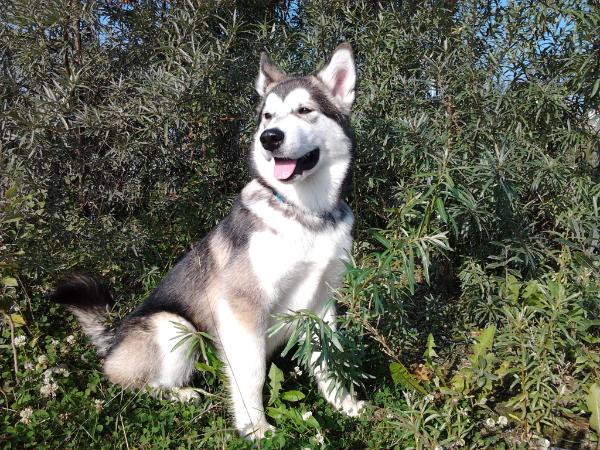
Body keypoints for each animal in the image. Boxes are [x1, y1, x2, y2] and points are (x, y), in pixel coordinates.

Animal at [56, 44, 364, 440]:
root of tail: (115, 339)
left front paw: (344, 403)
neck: (305, 214)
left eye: (305, 110)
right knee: (133, 382)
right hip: (174, 327)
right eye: (268, 116)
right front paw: (255, 428)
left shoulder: (322, 303)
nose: (270, 138)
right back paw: (182, 394)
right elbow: (252, 375)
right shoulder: (242, 306)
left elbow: (330, 359)